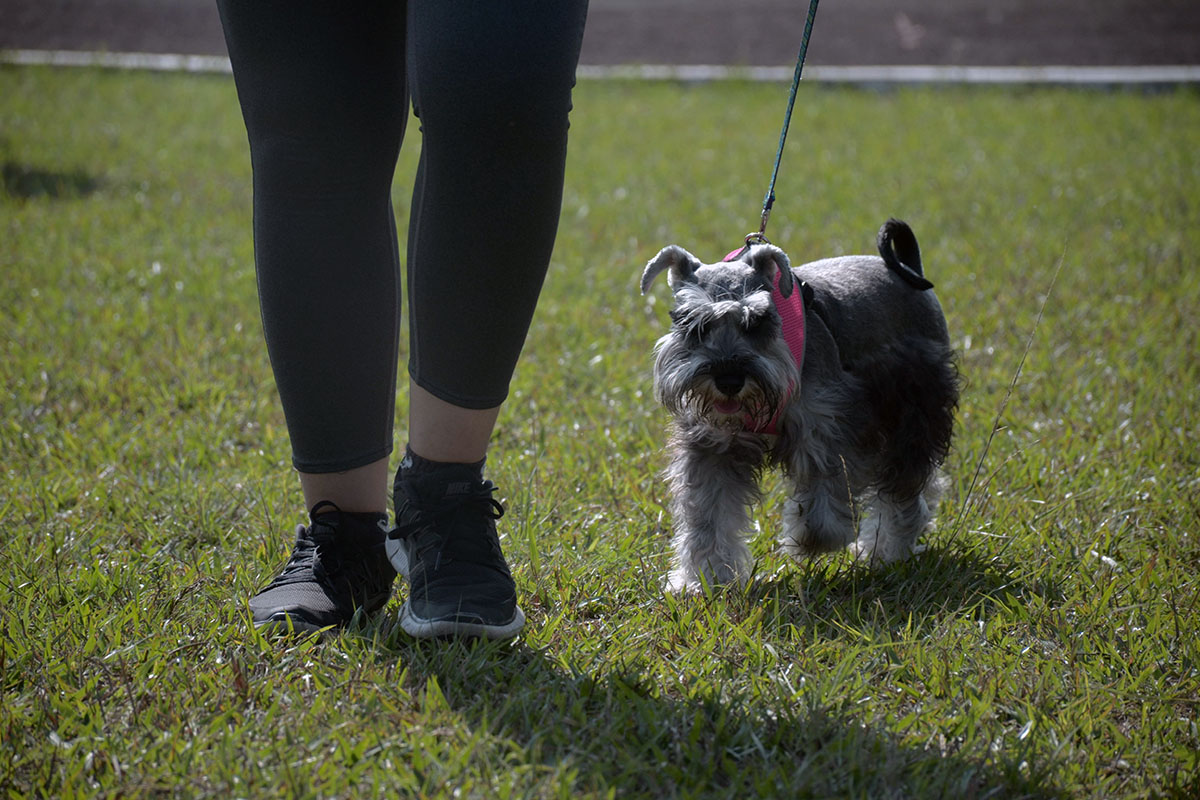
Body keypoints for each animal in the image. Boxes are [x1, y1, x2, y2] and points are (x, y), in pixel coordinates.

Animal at [643, 219, 960, 594]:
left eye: (757, 321)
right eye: (695, 325)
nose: (729, 380)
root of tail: (909, 271)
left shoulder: (827, 430)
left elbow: (823, 502)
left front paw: (808, 540)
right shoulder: (712, 448)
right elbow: (709, 516)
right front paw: (705, 580)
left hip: (912, 414)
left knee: (903, 493)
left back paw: (886, 551)